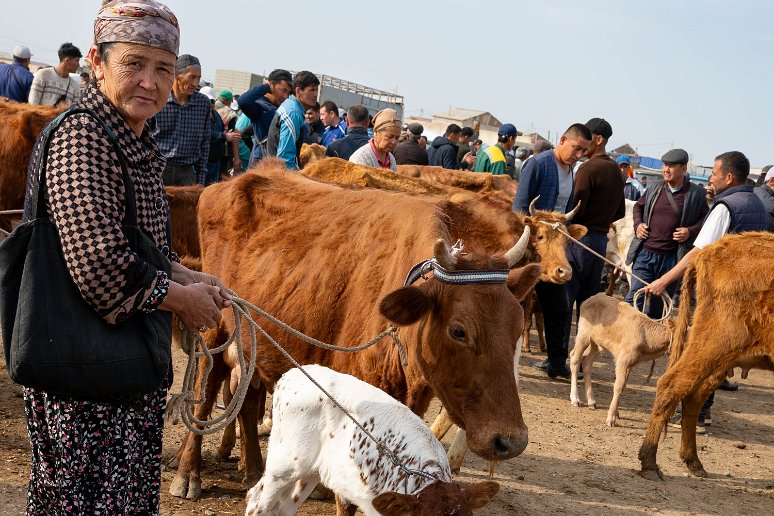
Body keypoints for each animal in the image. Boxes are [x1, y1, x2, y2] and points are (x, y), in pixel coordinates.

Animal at [644, 234, 774, 480]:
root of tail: (711, 249)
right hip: (714, 345)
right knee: (671, 385)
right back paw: (649, 463)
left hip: (720, 360)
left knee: (693, 397)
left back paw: (693, 461)